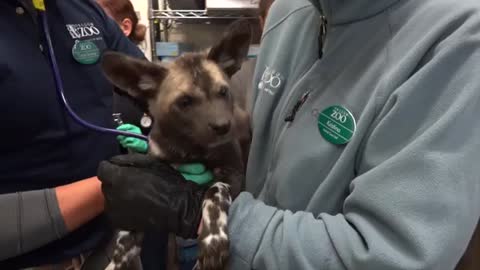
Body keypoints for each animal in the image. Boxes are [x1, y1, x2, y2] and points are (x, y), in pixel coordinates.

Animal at [100, 19, 253, 270]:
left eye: (223, 92)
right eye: (184, 102)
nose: (223, 127)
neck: (188, 149)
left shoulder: (234, 173)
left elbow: (214, 191)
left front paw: (213, 239)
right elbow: (134, 219)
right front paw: (122, 253)